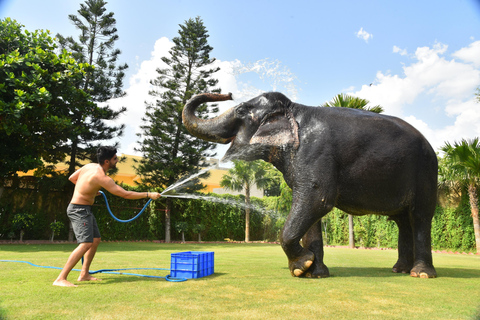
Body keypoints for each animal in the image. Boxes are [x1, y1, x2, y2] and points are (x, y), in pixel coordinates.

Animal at [182, 91, 436, 278]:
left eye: (241, 110)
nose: (227, 94)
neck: (294, 110)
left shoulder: (316, 153)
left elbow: (317, 201)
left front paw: (301, 266)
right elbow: (311, 211)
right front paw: (314, 272)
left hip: (425, 173)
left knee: (420, 216)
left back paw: (421, 274)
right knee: (403, 221)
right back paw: (399, 270)